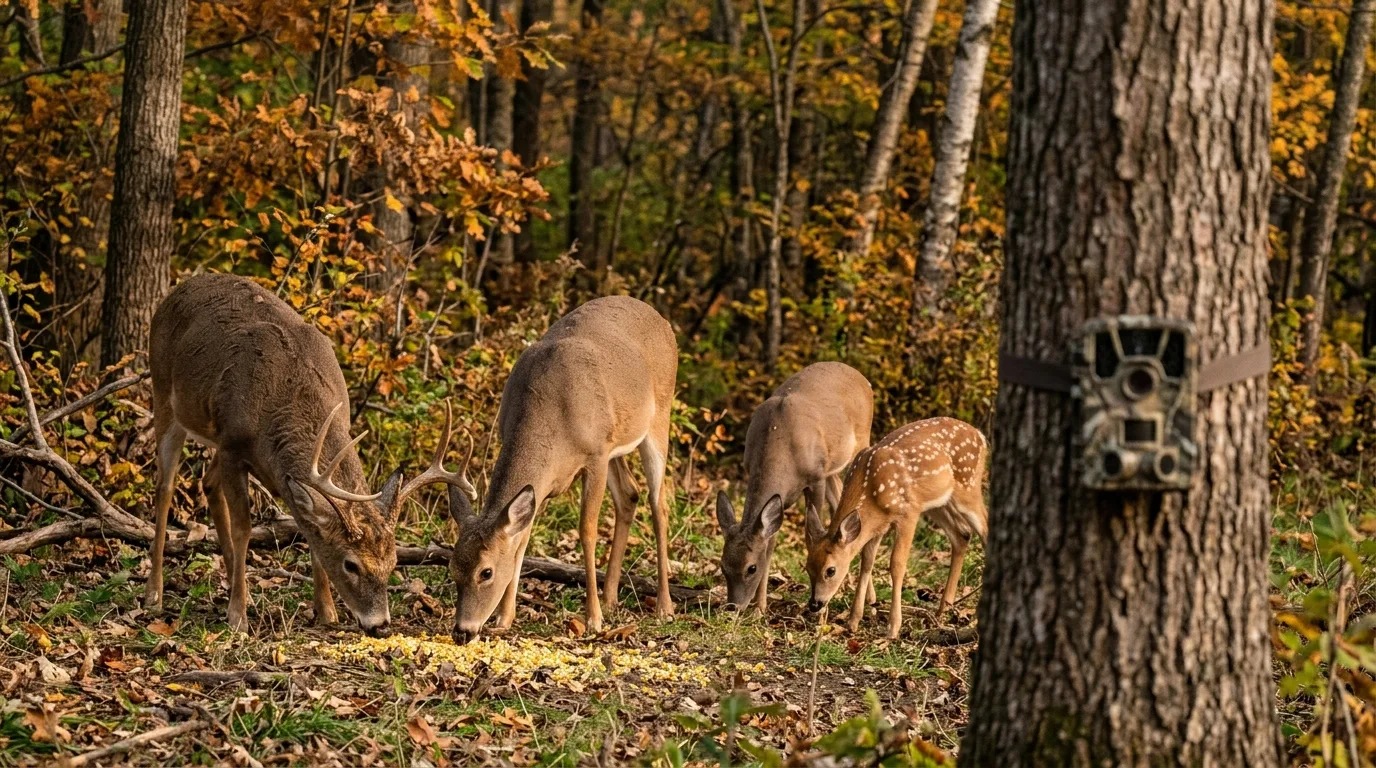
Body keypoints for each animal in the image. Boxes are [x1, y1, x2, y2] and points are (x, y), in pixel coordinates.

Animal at [145, 273, 472, 635]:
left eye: (393, 563)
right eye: (351, 564)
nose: (381, 625)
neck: (285, 398)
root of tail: (178, 288)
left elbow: (311, 531)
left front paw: (326, 610)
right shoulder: (232, 444)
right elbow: (244, 528)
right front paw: (237, 617)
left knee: (207, 481)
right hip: (164, 394)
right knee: (164, 489)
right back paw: (155, 593)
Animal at [446, 295, 678, 644]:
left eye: (485, 572)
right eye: (453, 568)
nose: (463, 631)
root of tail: (661, 319)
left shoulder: (595, 455)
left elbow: (587, 529)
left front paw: (593, 619)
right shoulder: (547, 478)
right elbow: (522, 539)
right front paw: (504, 617)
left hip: (659, 419)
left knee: (658, 504)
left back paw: (664, 606)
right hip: (618, 443)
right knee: (629, 495)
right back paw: (611, 598)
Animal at [716, 362, 874, 612]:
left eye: (751, 568)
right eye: (723, 566)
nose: (733, 606)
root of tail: (857, 374)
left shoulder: (815, 478)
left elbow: (813, 528)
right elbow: (770, 545)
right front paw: (760, 608)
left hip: (861, 442)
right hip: (831, 468)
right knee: (839, 498)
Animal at [804, 417, 987, 639]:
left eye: (830, 570)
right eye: (807, 567)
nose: (815, 604)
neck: (872, 489)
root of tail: (981, 436)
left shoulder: (908, 513)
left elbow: (897, 564)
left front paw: (893, 627)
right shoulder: (877, 526)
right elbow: (867, 562)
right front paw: (853, 621)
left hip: (968, 487)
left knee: (985, 529)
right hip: (938, 503)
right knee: (962, 535)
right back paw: (943, 609)